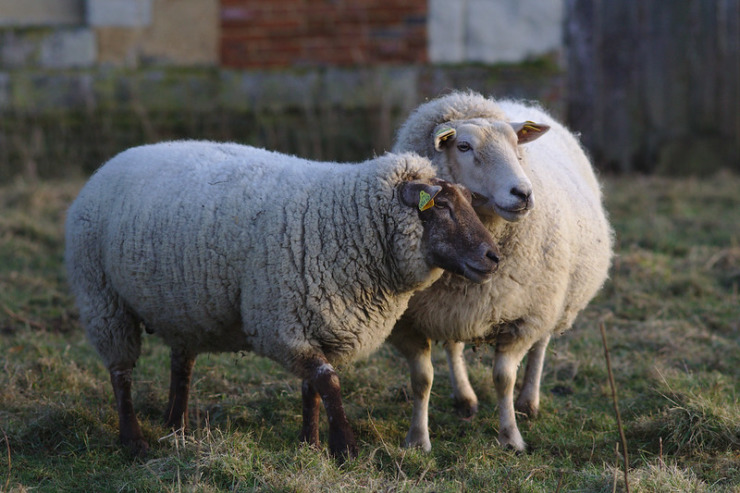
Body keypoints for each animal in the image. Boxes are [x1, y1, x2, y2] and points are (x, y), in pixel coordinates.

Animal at [66, 140, 500, 460]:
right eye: (441, 205)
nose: (493, 256)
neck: (343, 220)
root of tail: (113, 161)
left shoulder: (316, 322)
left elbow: (313, 387)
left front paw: (310, 444)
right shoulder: (281, 324)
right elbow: (329, 381)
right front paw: (345, 447)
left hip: (181, 308)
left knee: (182, 365)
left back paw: (177, 428)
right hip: (103, 300)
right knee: (121, 373)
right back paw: (133, 440)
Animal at [388, 91, 612, 450]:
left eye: (516, 146)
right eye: (463, 146)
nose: (523, 193)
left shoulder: (524, 316)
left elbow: (503, 378)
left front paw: (511, 438)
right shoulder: (408, 321)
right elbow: (422, 380)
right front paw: (417, 440)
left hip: (551, 300)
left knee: (540, 346)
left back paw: (528, 402)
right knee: (453, 346)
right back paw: (465, 399)